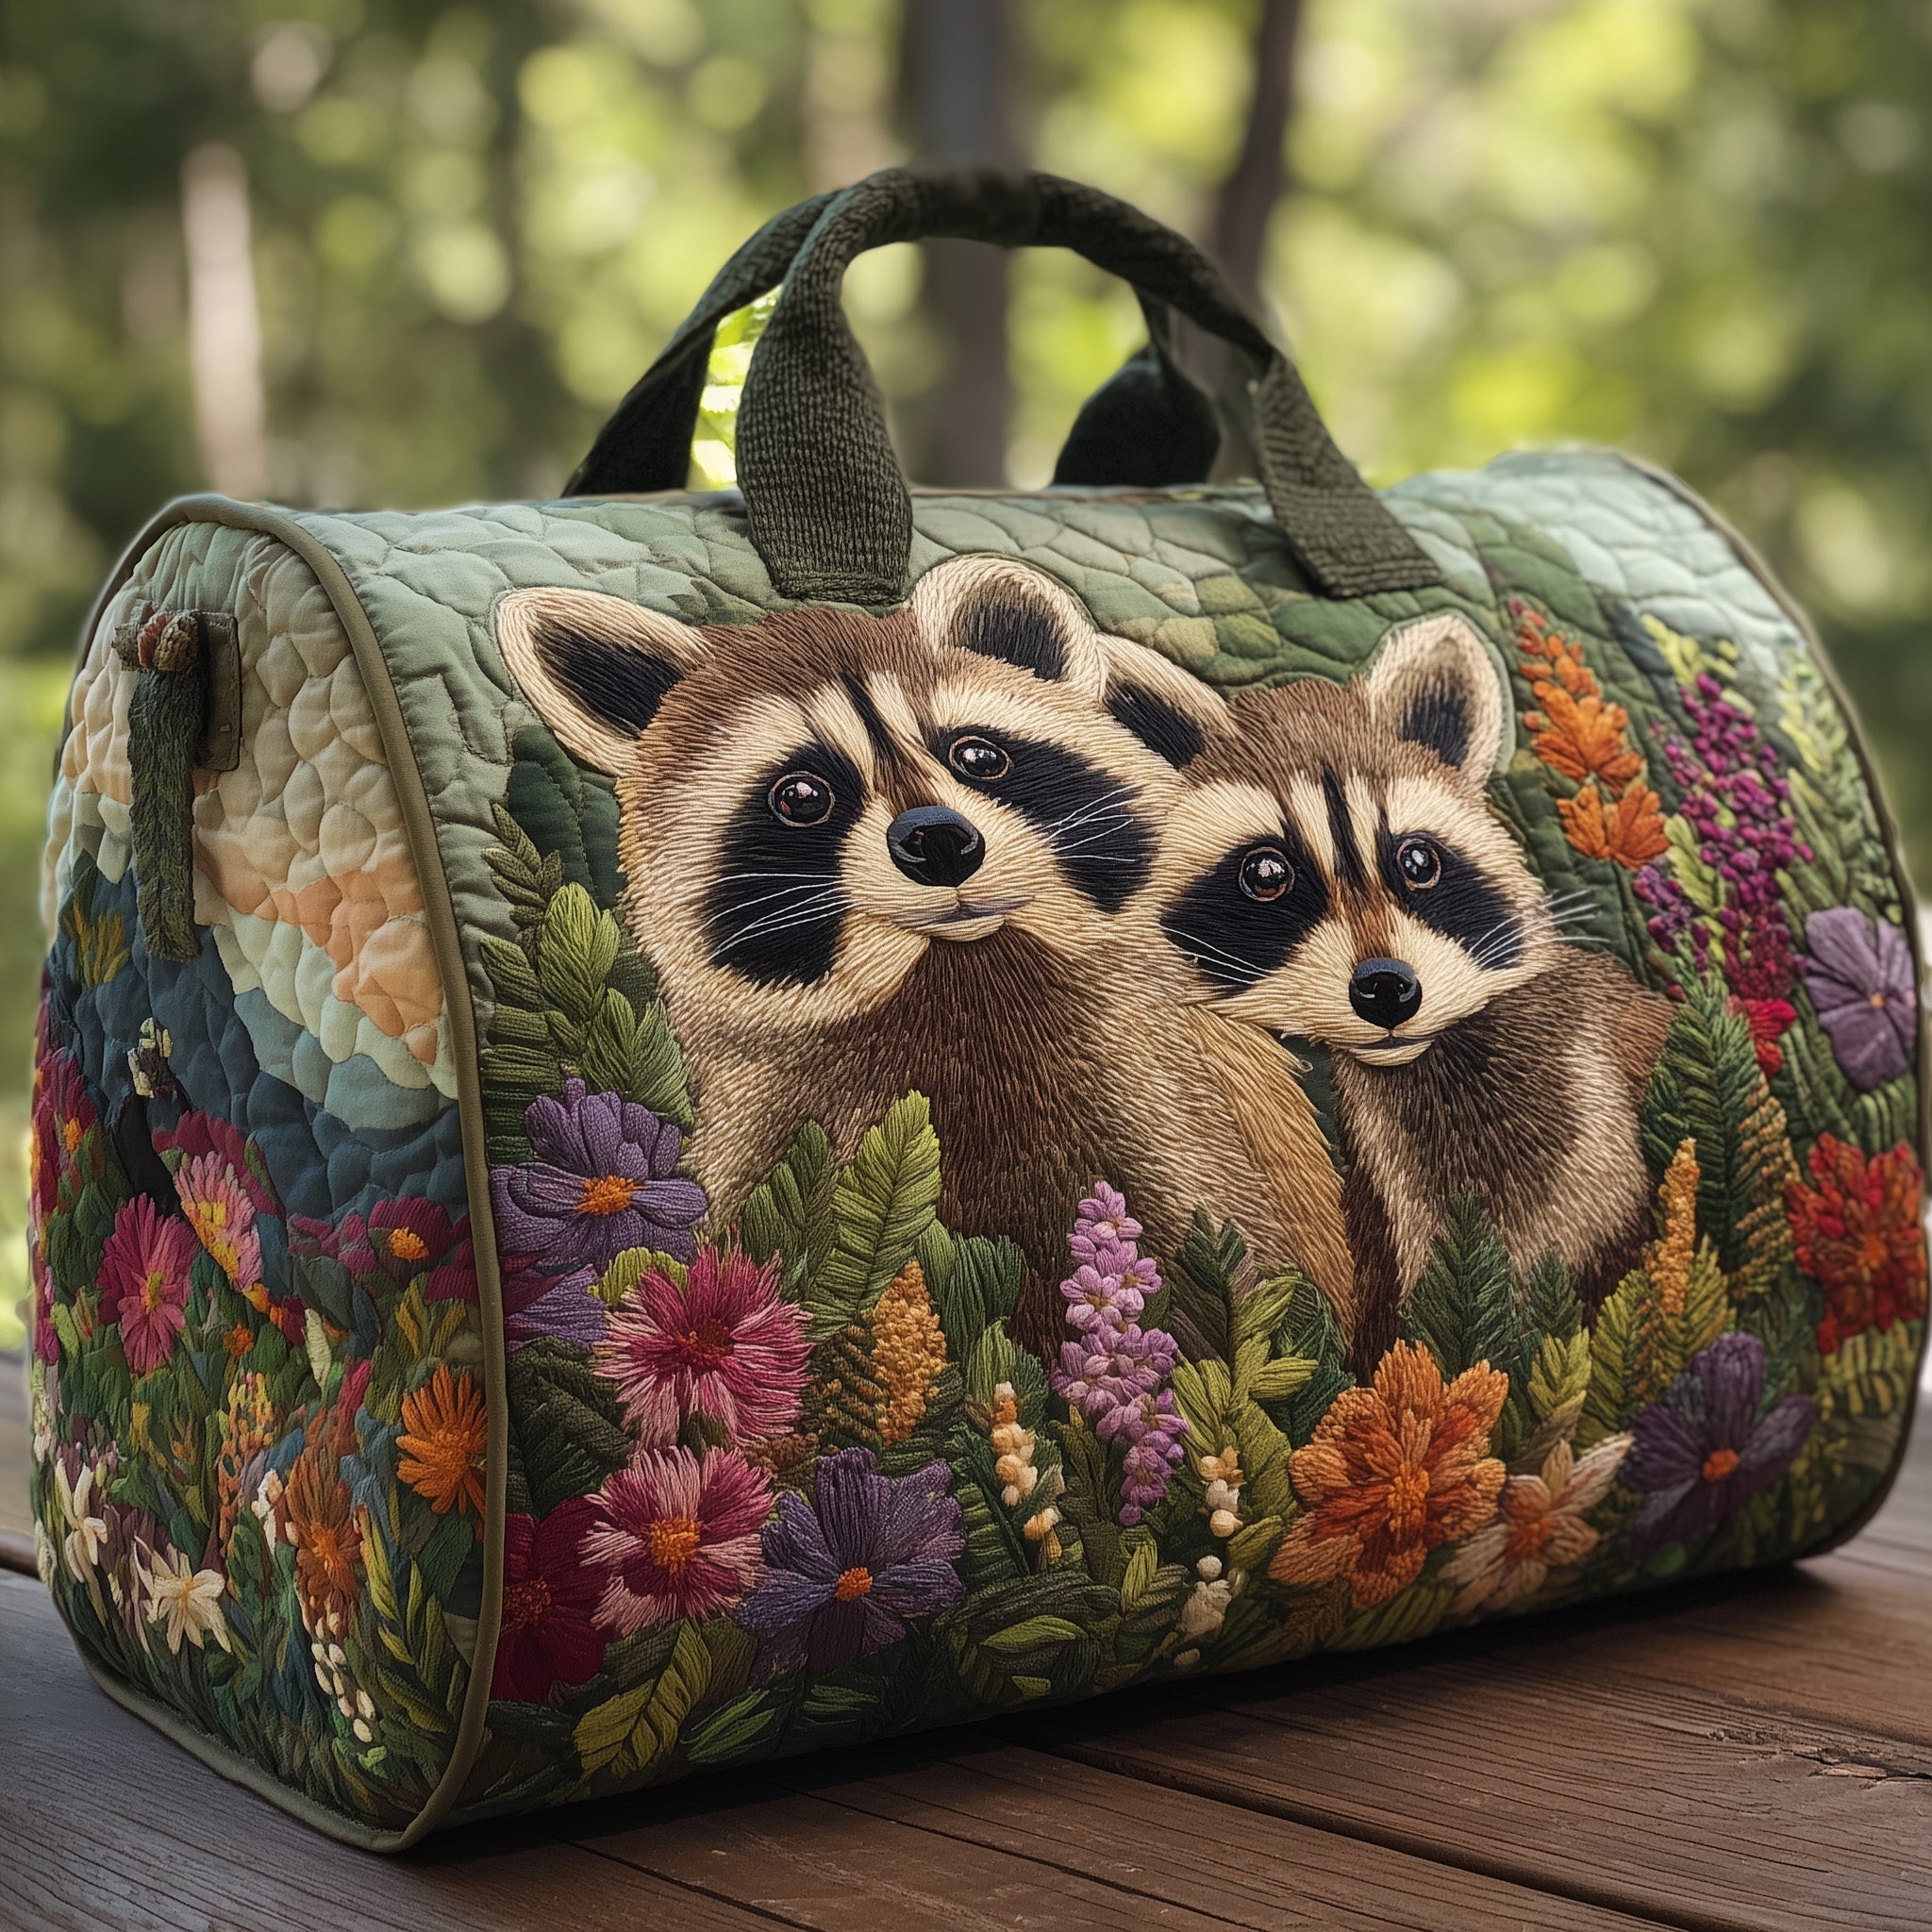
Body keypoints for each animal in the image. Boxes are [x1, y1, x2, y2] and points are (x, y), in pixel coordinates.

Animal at [496, 553, 1350, 1351]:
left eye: (978, 756)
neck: (957, 969)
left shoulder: (1177, 1130)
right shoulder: (766, 1145)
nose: (938, 839)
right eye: (802, 795)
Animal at [1155, 612, 1673, 1369]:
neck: (1430, 1057)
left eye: (1418, 860)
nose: (1385, 989)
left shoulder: (1587, 1081)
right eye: (1267, 874)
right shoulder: (1400, 1201)